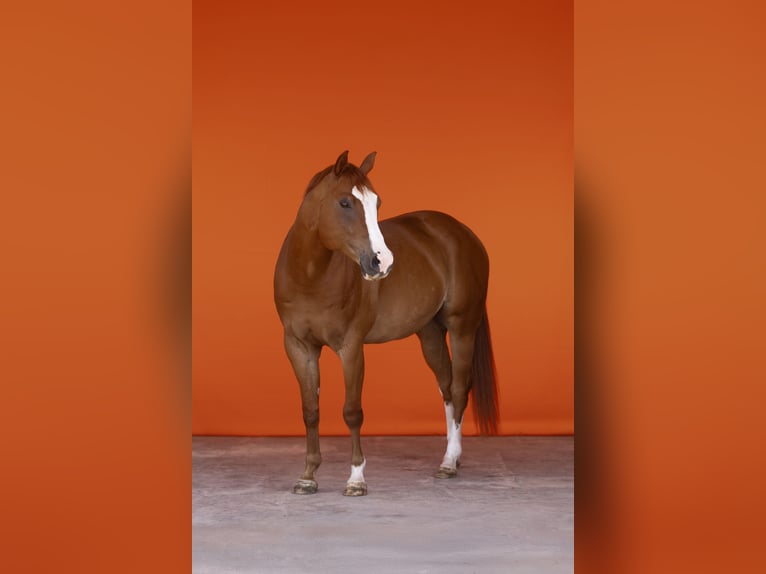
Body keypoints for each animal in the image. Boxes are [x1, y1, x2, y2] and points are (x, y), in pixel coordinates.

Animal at [273, 151, 498, 496]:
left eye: (376, 202)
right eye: (345, 202)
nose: (382, 262)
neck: (311, 278)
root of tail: (463, 232)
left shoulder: (351, 348)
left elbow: (352, 412)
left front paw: (356, 479)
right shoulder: (299, 347)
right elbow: (310, 411)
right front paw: (308, 476)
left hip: (462, 328)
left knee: (460, 389)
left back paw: (448, 462)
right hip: (430, 333)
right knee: (446, 388)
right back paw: (453, 457)